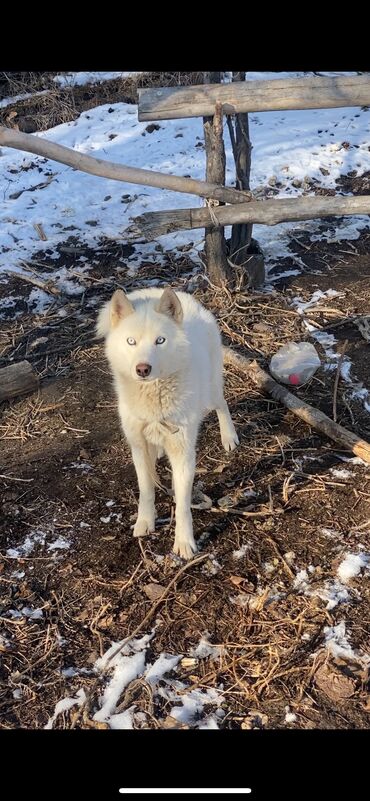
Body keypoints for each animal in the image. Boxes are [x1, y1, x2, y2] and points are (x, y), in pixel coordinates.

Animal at [97, 286, 238, 556]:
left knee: (223, 404)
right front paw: (145, 522)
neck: (154, 398)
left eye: (159, 341)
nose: (143, 369)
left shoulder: (184, 453)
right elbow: (146, 490)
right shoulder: (139, 448)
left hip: (211, 393)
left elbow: (183, 504)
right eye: (131, 341)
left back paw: (229, 437)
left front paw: (184, 542)